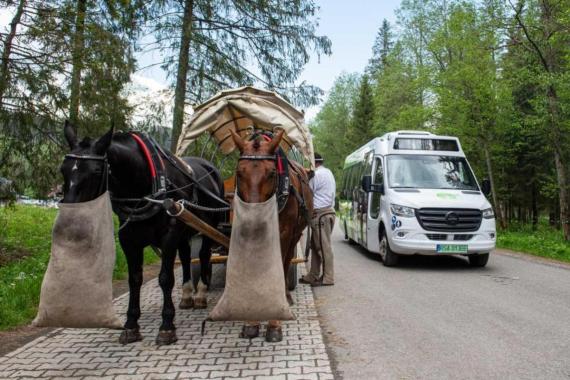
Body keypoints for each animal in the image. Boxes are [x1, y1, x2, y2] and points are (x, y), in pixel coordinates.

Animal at [60, 121, 224, 344]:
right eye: (63, 169)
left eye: (95, 170)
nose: (70, 220)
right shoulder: (128, 239)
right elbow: (135, 279)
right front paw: (131, 325)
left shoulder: (169, 235)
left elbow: (165, 278)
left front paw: (166, 326)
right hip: (185, 229)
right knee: (187, 257)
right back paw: (187, 295)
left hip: (206, 228)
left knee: (205, 255)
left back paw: (200, 295)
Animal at [229, 127, 312, 342]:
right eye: (239, 173)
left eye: (272, 173)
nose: (253, 219)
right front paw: (252, 322)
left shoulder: (283, 234)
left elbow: (278, 268)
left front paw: (274, 324)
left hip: (295, 234)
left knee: (287, 260)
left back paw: (286, 297)